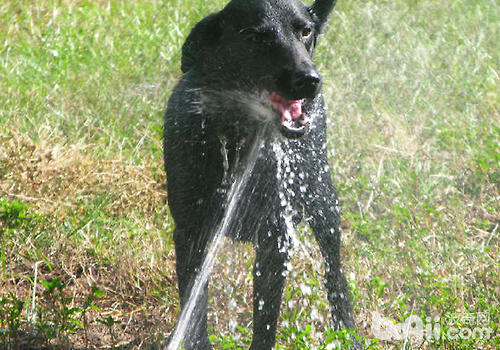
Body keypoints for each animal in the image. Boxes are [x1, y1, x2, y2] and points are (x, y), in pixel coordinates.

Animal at [164, 0, 360, 350]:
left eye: (304, 31)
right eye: (255, 37)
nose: (309, 79)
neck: (237, 134)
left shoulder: (275, 239)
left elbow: (265, 323)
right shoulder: (191, 233)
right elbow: (195, 310)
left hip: (324, 203)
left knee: (335, 274)